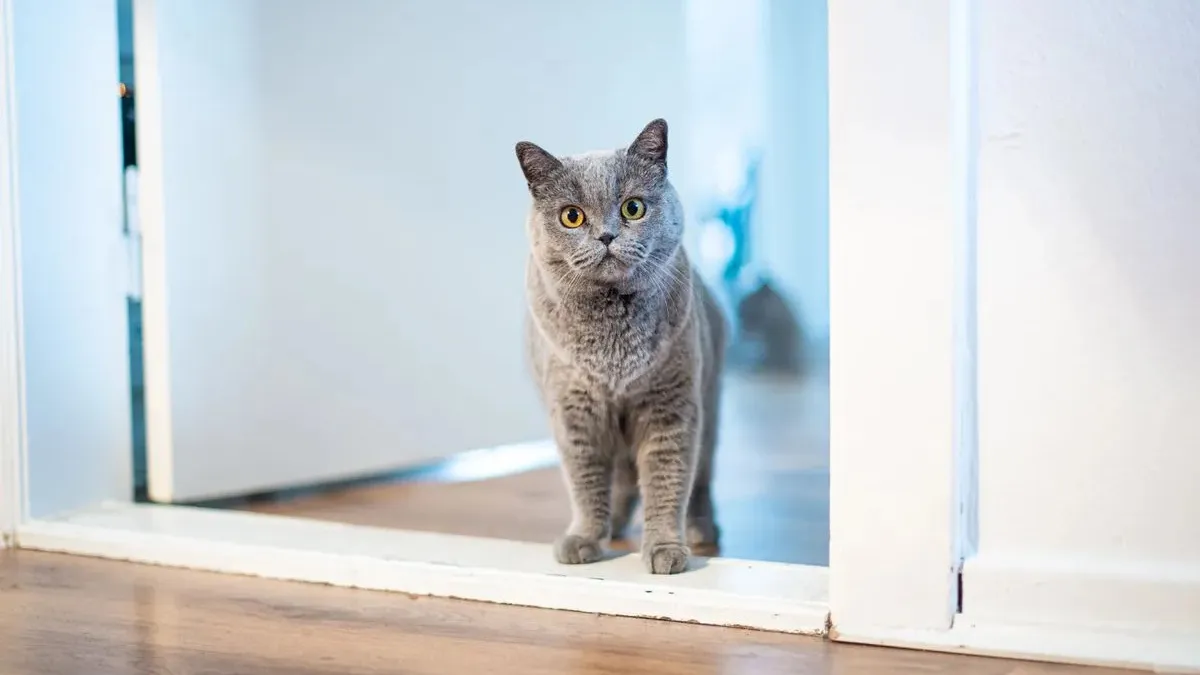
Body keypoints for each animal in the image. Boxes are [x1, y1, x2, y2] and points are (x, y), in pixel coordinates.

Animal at [516, 119, 726, 575]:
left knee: (700, 480)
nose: (607, 235)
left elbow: (668, 481)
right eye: (572, 216)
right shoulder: (574, 413)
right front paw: (585, 538)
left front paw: (665, 548)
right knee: (621, 481)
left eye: (633, 208)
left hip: (710, 403)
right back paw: (612, 521)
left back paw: (701, 530)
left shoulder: (671, 407)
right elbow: (585, 482)